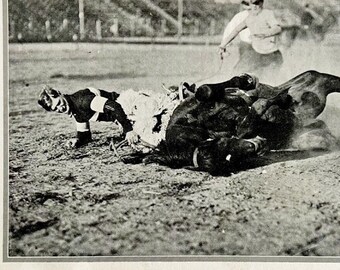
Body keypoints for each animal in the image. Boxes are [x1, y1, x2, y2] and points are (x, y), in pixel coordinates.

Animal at [124, 70, 340, 174]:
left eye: (223, 146)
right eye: (229, 160)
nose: (257, 147)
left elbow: (205, 90)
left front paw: (247, 83)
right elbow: (250, 120)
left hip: (315, 80)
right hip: (315, 130)